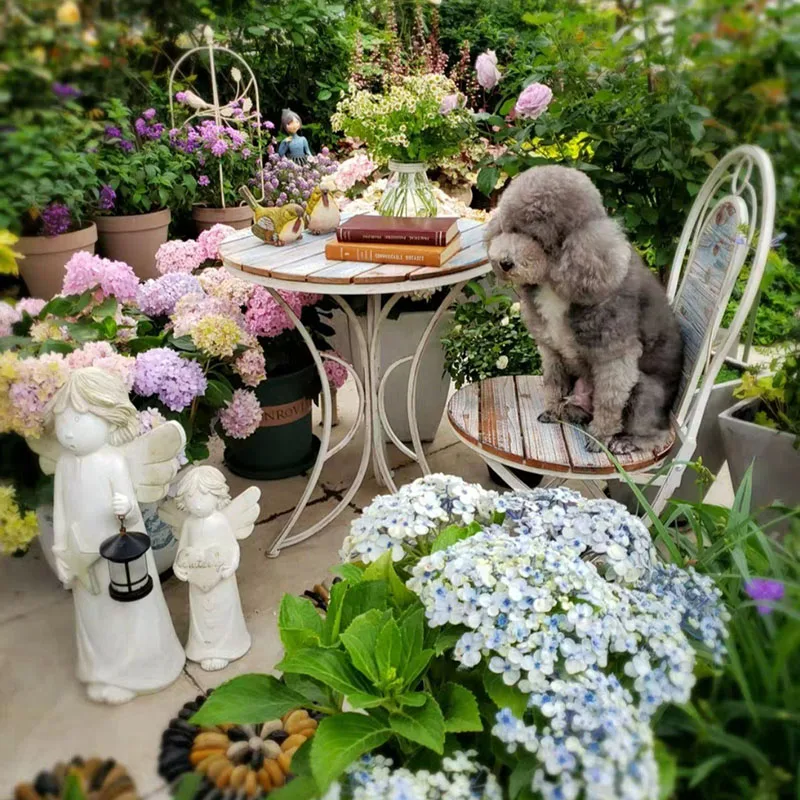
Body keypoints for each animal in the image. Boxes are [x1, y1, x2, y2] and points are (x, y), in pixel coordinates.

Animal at [484, 166, 684, 454]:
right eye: (510, 229)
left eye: (537, 238)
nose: (504, 262)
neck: (556, 281)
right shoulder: (551, 348)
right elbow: (553, 383)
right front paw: (552, 410)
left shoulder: (615, 356)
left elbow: (609, 402)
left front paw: (600, 437)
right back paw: (571, 412)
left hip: (646, 392)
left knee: (654, 431)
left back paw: (625, 441)